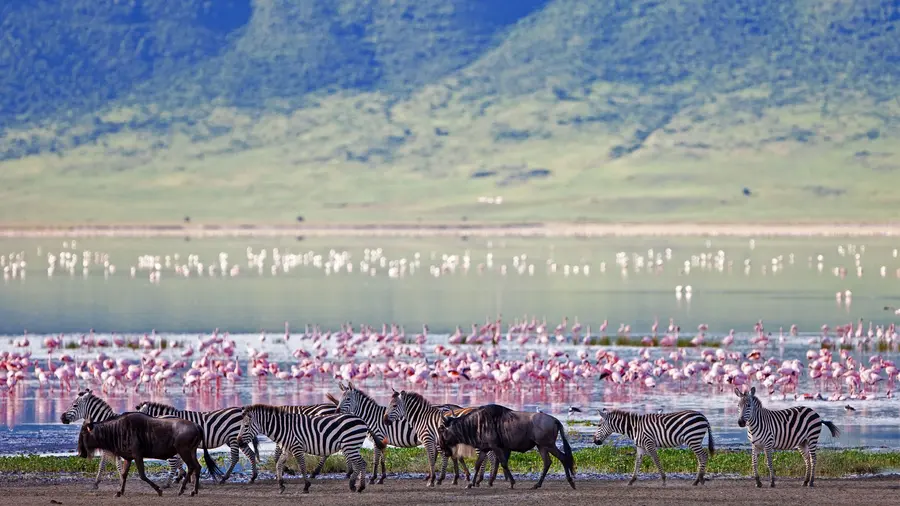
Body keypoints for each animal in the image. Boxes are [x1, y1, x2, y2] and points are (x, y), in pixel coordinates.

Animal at [236, 404, 368, 494]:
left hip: (350, 445)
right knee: (361, 463)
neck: (284, 428)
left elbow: (302, 466)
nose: (238, 442)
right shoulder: (287, 450)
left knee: (360, 463)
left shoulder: (297, 448)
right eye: (241, 426)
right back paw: (356, 486)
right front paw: (281, 485)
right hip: (351, 446)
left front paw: (306, 486)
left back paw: (357, 486)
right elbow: (278, 465)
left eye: (246, 426)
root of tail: (361, 420)